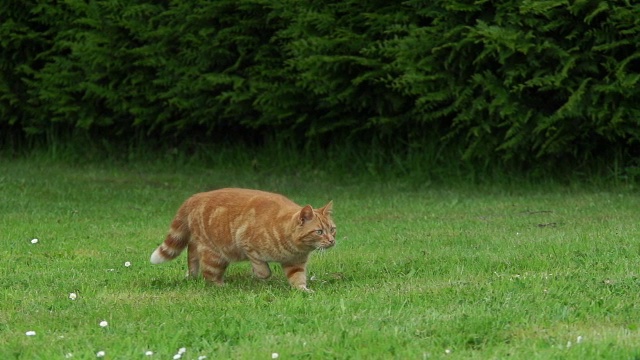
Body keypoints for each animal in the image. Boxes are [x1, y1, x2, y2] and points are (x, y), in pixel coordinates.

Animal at [149, 187, 336, 292]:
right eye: (319, 231)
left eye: (332, 230)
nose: (332, 241)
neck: (295, 247)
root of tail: (195, 196)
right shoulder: (246, 244)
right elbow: (263, 270)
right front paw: (258, 275)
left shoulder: (295, 263)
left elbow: (298, 278)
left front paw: (303, 290)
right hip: (215, 255)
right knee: (209, 274)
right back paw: (221, 286)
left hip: (199, 245)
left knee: (192, 254)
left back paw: (192, 276)